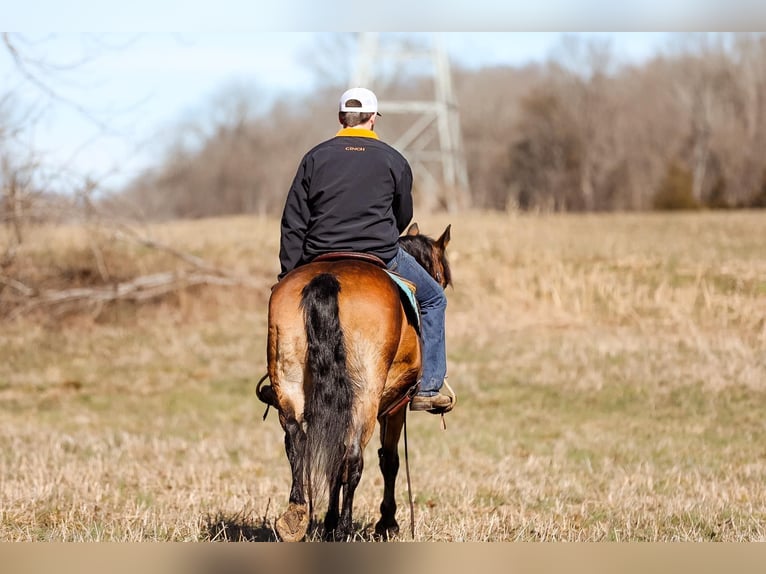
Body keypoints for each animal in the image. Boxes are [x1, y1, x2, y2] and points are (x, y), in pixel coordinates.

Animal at [260, 223, 450, 544]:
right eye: (441, 278)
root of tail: (328, 278)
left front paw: (328, 522)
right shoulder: (394, 408)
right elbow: (389, 460)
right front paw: (386, 523)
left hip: (289, 383)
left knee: (298, 442)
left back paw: (295, 519)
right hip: (365, 397)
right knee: (352, 457)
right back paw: (345, 530)